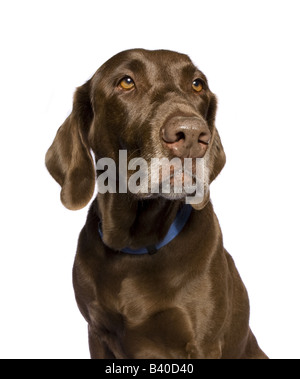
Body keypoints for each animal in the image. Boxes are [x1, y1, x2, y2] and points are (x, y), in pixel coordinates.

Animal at [46, 48, 268, 360]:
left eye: (197, 84)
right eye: (126, 82)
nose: (191, 135)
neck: (137, 243)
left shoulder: (203, 344)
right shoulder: (97, 333)